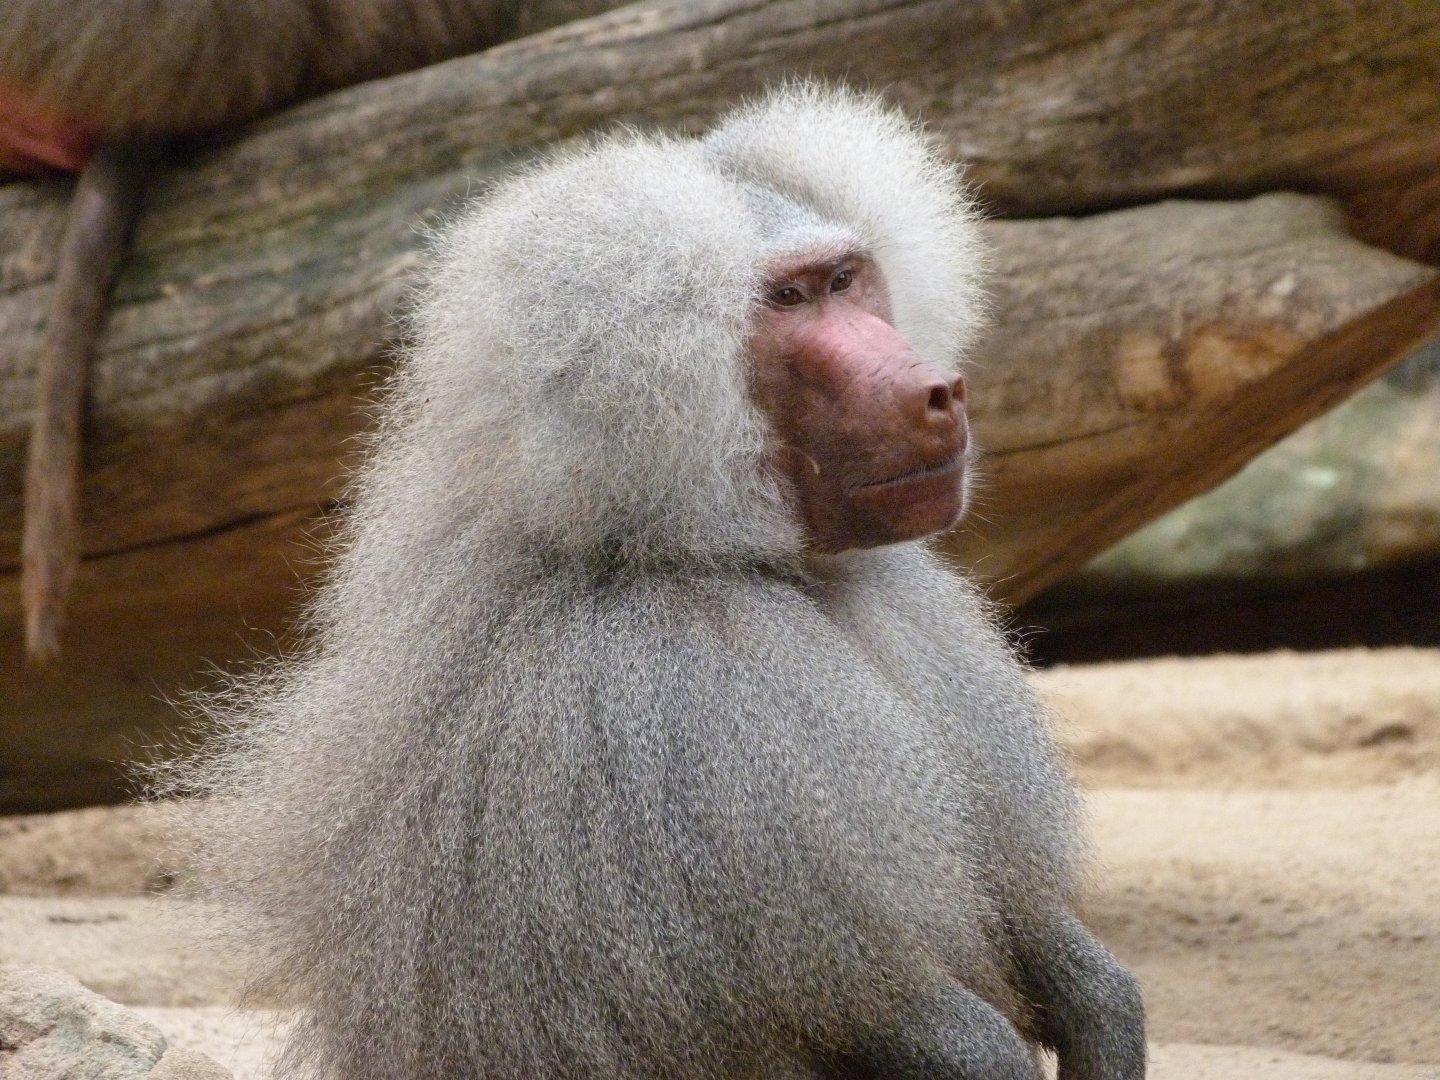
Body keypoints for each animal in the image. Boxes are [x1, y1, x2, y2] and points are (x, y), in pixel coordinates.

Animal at [168, 83, 1146, 1078]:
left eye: (845, 279)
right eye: (788, 300)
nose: (938, 392)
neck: (692, 546)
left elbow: (1025, 916)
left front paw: (1100, 998)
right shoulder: (677, 710)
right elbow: (859, 1005)